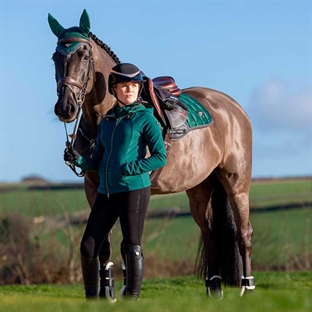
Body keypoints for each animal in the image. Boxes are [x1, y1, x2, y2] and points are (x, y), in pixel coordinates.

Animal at [48, 9, 254, 298]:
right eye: (56, 57)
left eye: (85, 55)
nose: (65, 108)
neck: (110, 117)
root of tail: (234, 108)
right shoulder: (94, 189)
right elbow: (104, 243)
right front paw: (107, 291)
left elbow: (127, 243)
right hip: (200, 189)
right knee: (210, 234)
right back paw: (213, 287)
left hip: (237, 183)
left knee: (243, 233)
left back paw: (247, 287)